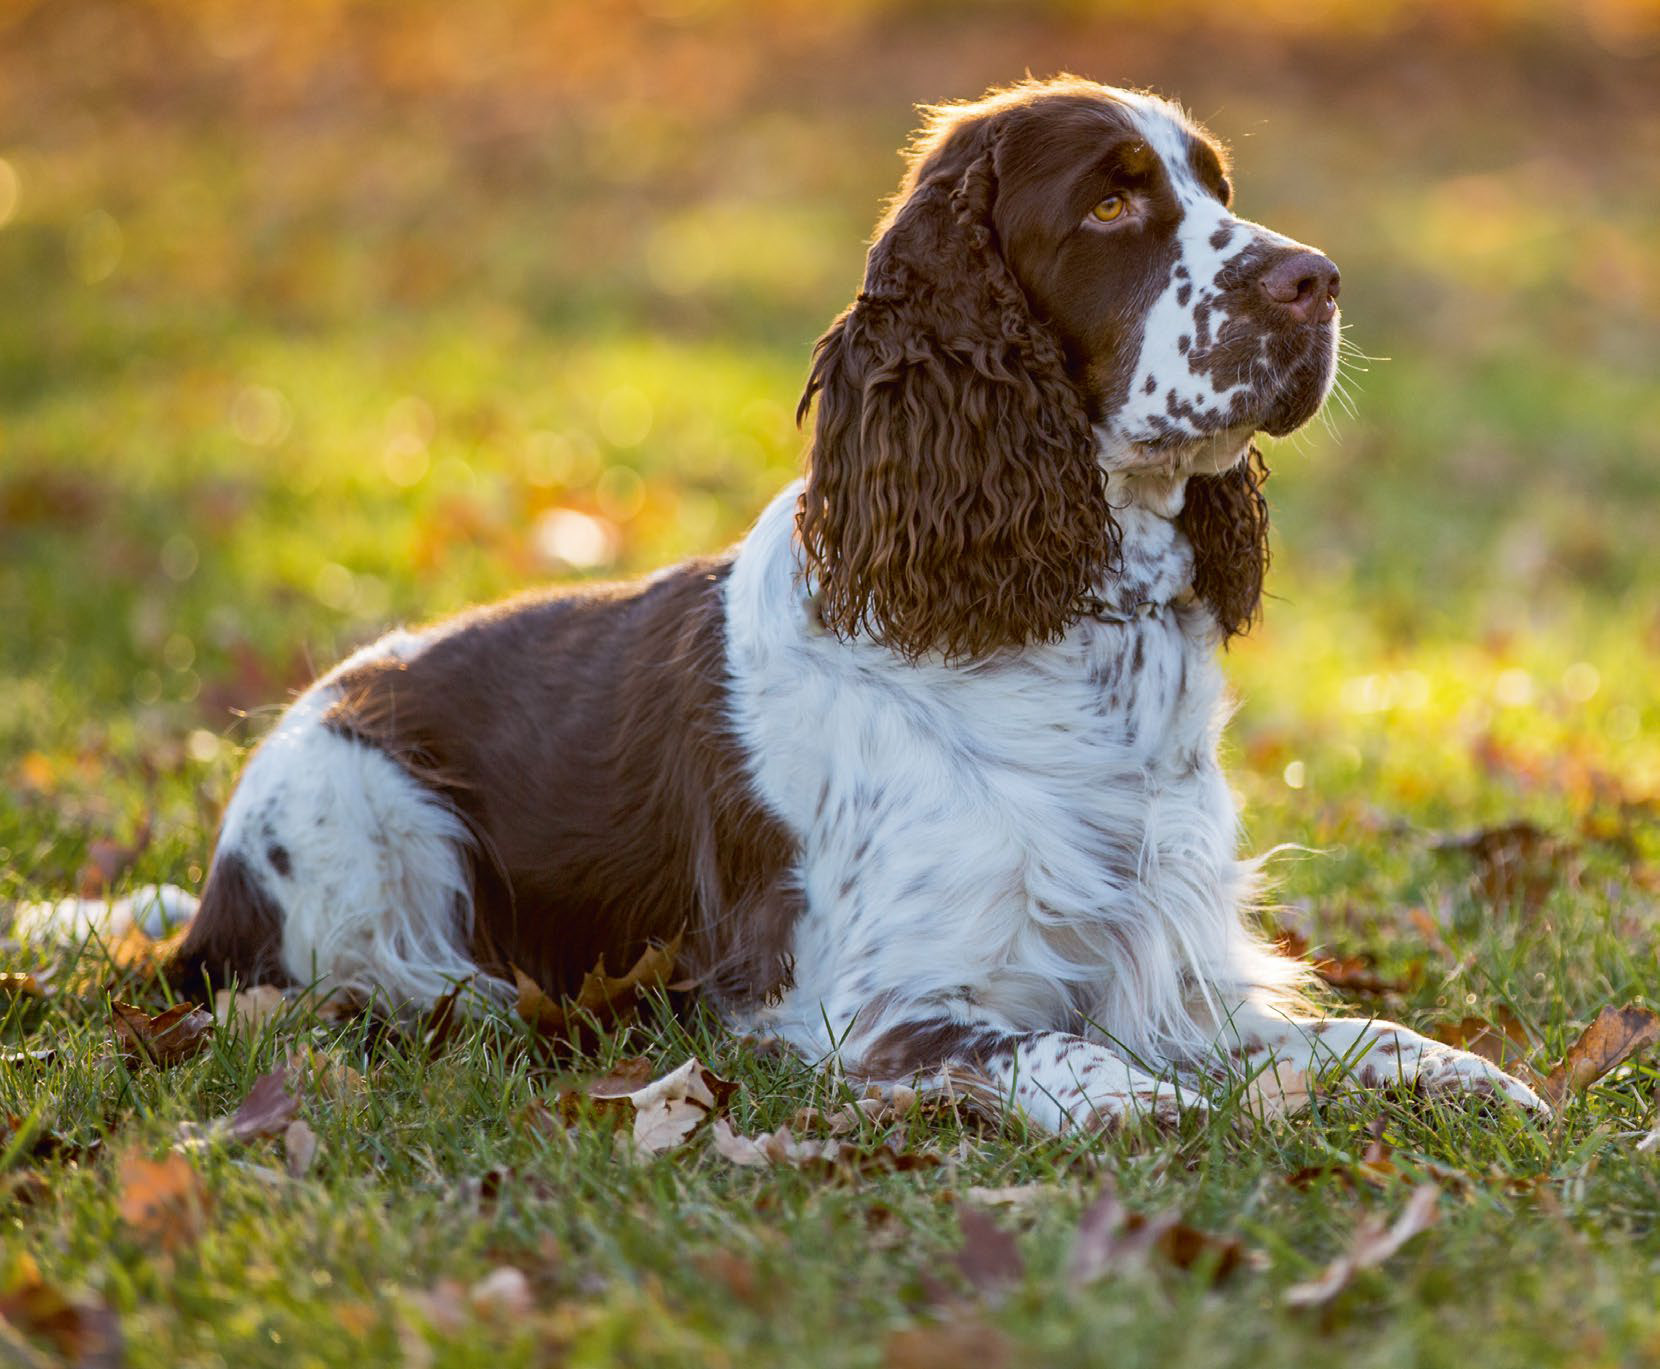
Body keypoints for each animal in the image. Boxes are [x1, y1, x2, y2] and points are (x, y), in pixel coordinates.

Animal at [142, 72, 1540, 1121]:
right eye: (1108, 204)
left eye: (1217, 191)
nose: (1318, 281)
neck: (1080, 632)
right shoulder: (882, 1008)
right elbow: (1077, 1057)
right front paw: (1171, 1112)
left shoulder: (1184, 965)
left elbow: (1364, 1035)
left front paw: (1477, 1077)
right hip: (365, 810)